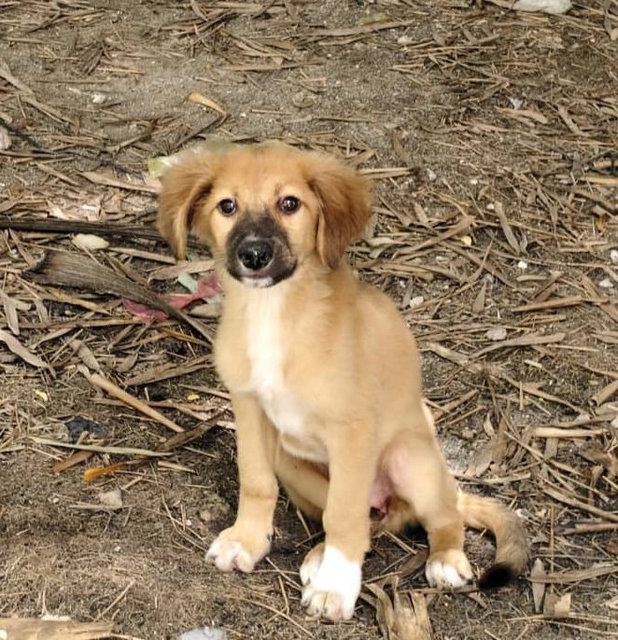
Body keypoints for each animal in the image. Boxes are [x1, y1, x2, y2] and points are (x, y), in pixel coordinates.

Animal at [156, 142, 528, 624]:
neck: (276, 314)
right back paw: (319, 557)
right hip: (292, 463)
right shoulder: (250, 407)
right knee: (369, 522)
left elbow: (344, 514)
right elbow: (257, 482)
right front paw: (247, 540)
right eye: (227, 206)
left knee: (441, 515)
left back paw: (444, 558)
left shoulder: (352, 431)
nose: (254, 255)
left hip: (411, 461)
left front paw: (335, 587)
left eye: (290, 204)